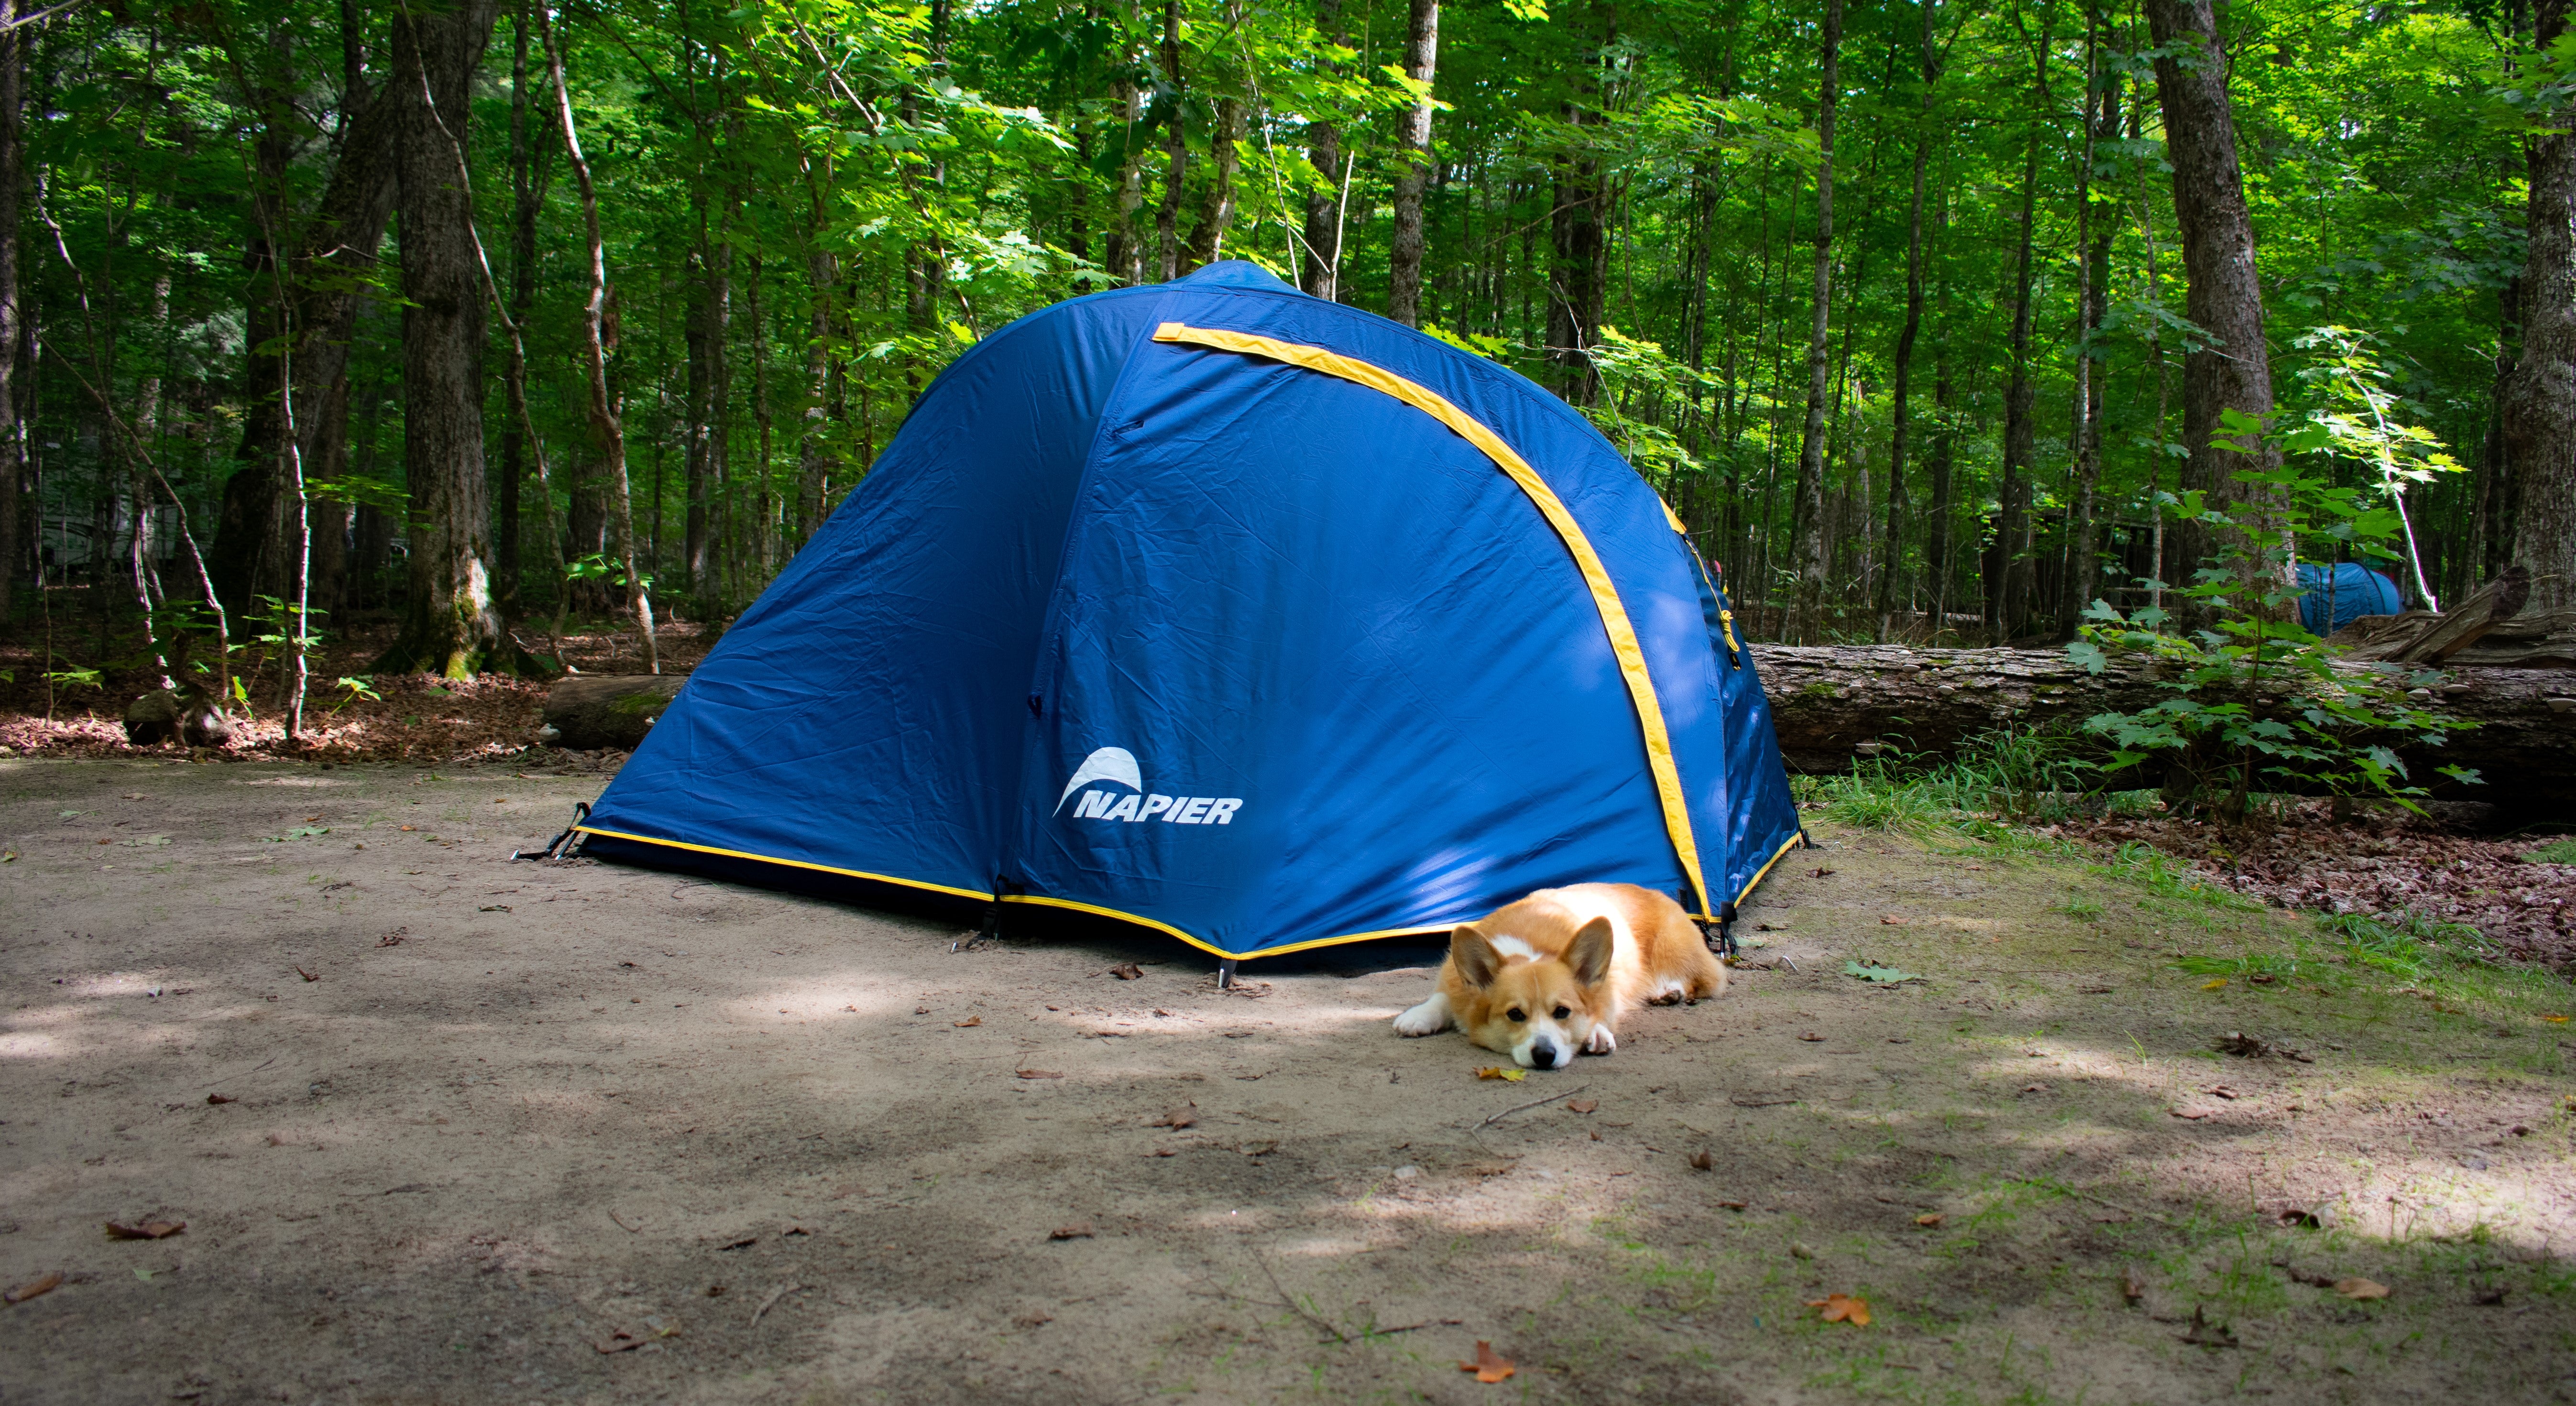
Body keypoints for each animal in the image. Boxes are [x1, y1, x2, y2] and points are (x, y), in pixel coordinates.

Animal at [1391, 881, 1731, 1066]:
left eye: (1563, 1012)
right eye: (1515, 1015)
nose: (1545, 1055)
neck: (1528, 951)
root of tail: (1650, 889)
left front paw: (1595, 1033)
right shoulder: (1455, 983)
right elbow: (1441, 999)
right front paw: (1417, 1017)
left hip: (1672, 950)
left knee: (1706, 979)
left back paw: (1670, 991)